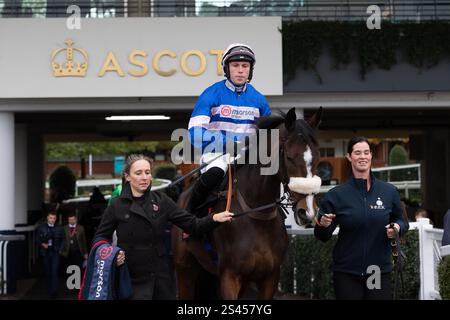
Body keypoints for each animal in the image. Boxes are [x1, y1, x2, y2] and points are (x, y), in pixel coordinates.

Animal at [172, 107, 324, 300]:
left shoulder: (270, 278)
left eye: (318, 157)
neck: (256, 215)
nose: (308, 211)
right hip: (185, 268)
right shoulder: (229, 277)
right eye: (289, 157)